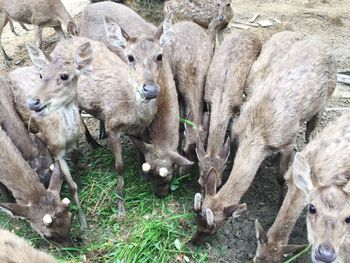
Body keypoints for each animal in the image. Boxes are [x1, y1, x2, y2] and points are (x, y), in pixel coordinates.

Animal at [8, 41, 93, 229]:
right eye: (41, 75)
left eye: (64, 76)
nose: (33, 102)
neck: (65, 137)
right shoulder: (56, 152)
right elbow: (72, 185)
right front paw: (83, 221)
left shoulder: (75, 144)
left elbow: (76, 161)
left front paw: (80, 174)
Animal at [196, 31, 262, 190]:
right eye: (199, 182)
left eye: (220, 184)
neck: (221, 97)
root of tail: (251, 33)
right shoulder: (208, 100)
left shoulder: (237, 107)